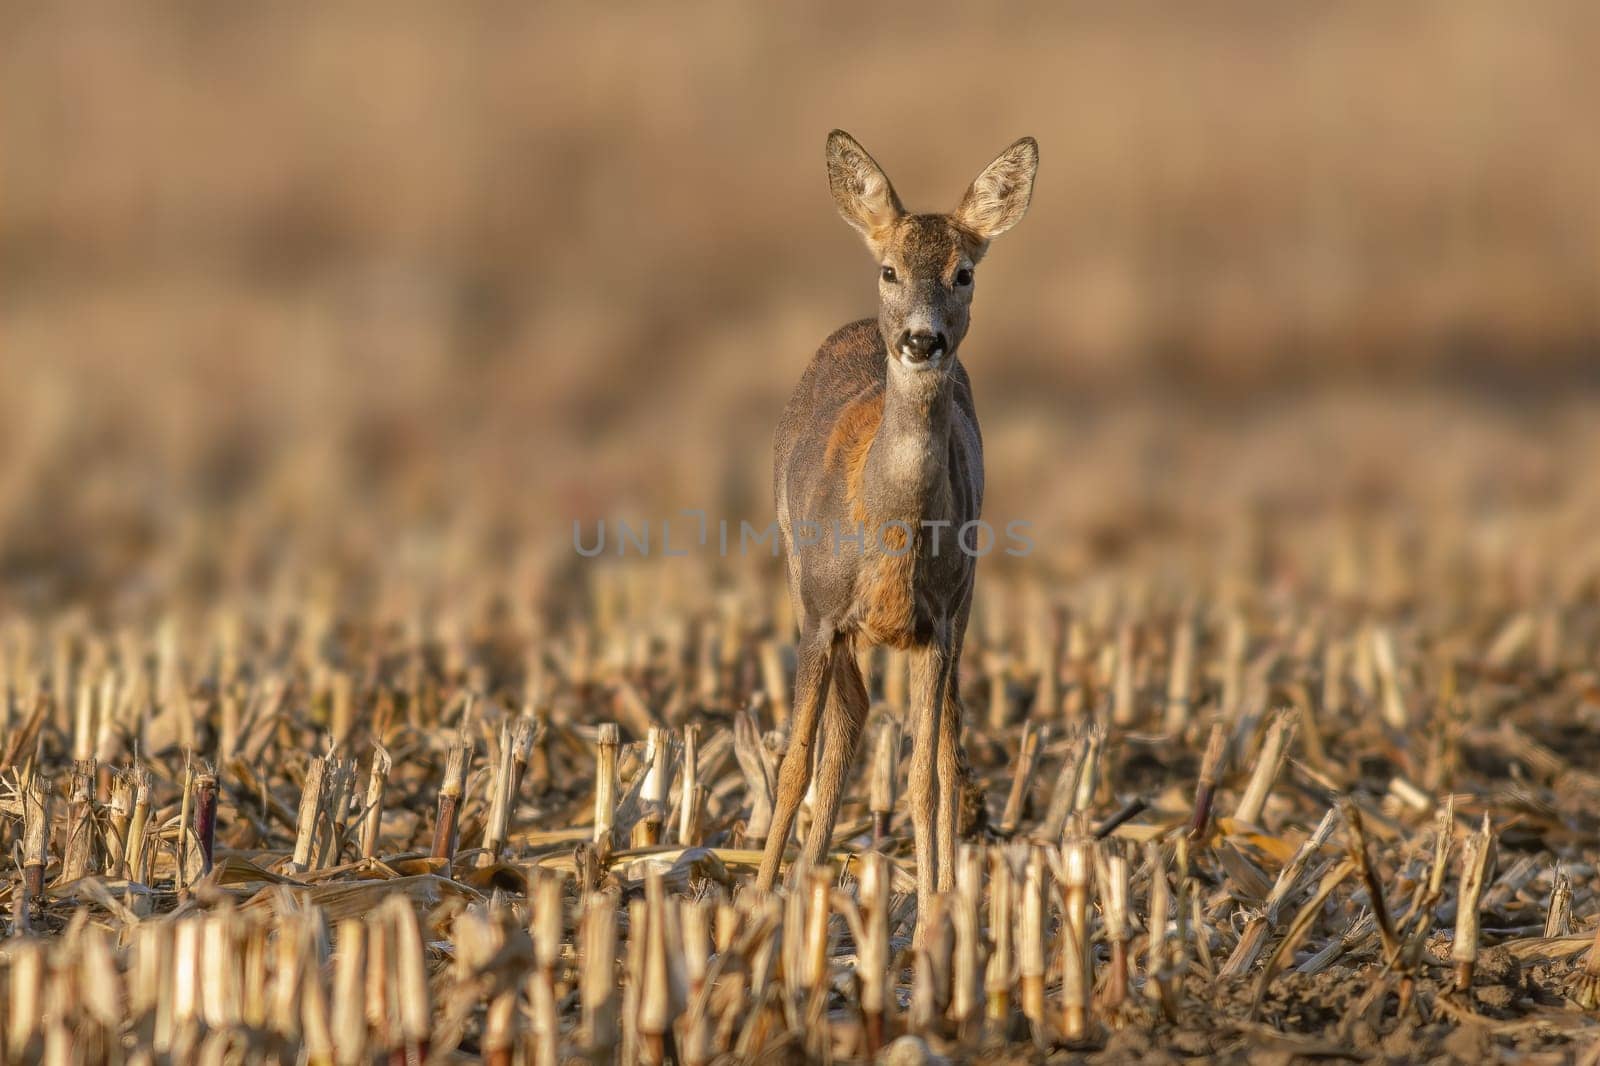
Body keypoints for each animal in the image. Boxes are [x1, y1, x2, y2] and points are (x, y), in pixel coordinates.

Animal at [755, 124, 1043, 921]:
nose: (921, 340)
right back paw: (805, 872)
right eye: (888, 269)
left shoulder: (938, 620)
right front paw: (756, 898)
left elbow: (926, 772)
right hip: (798, 580)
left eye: (964, 272)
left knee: (938, 746)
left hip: (965, 603)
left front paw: (938, 906)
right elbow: (794, 763)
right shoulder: (821, 613)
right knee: (847, 722)